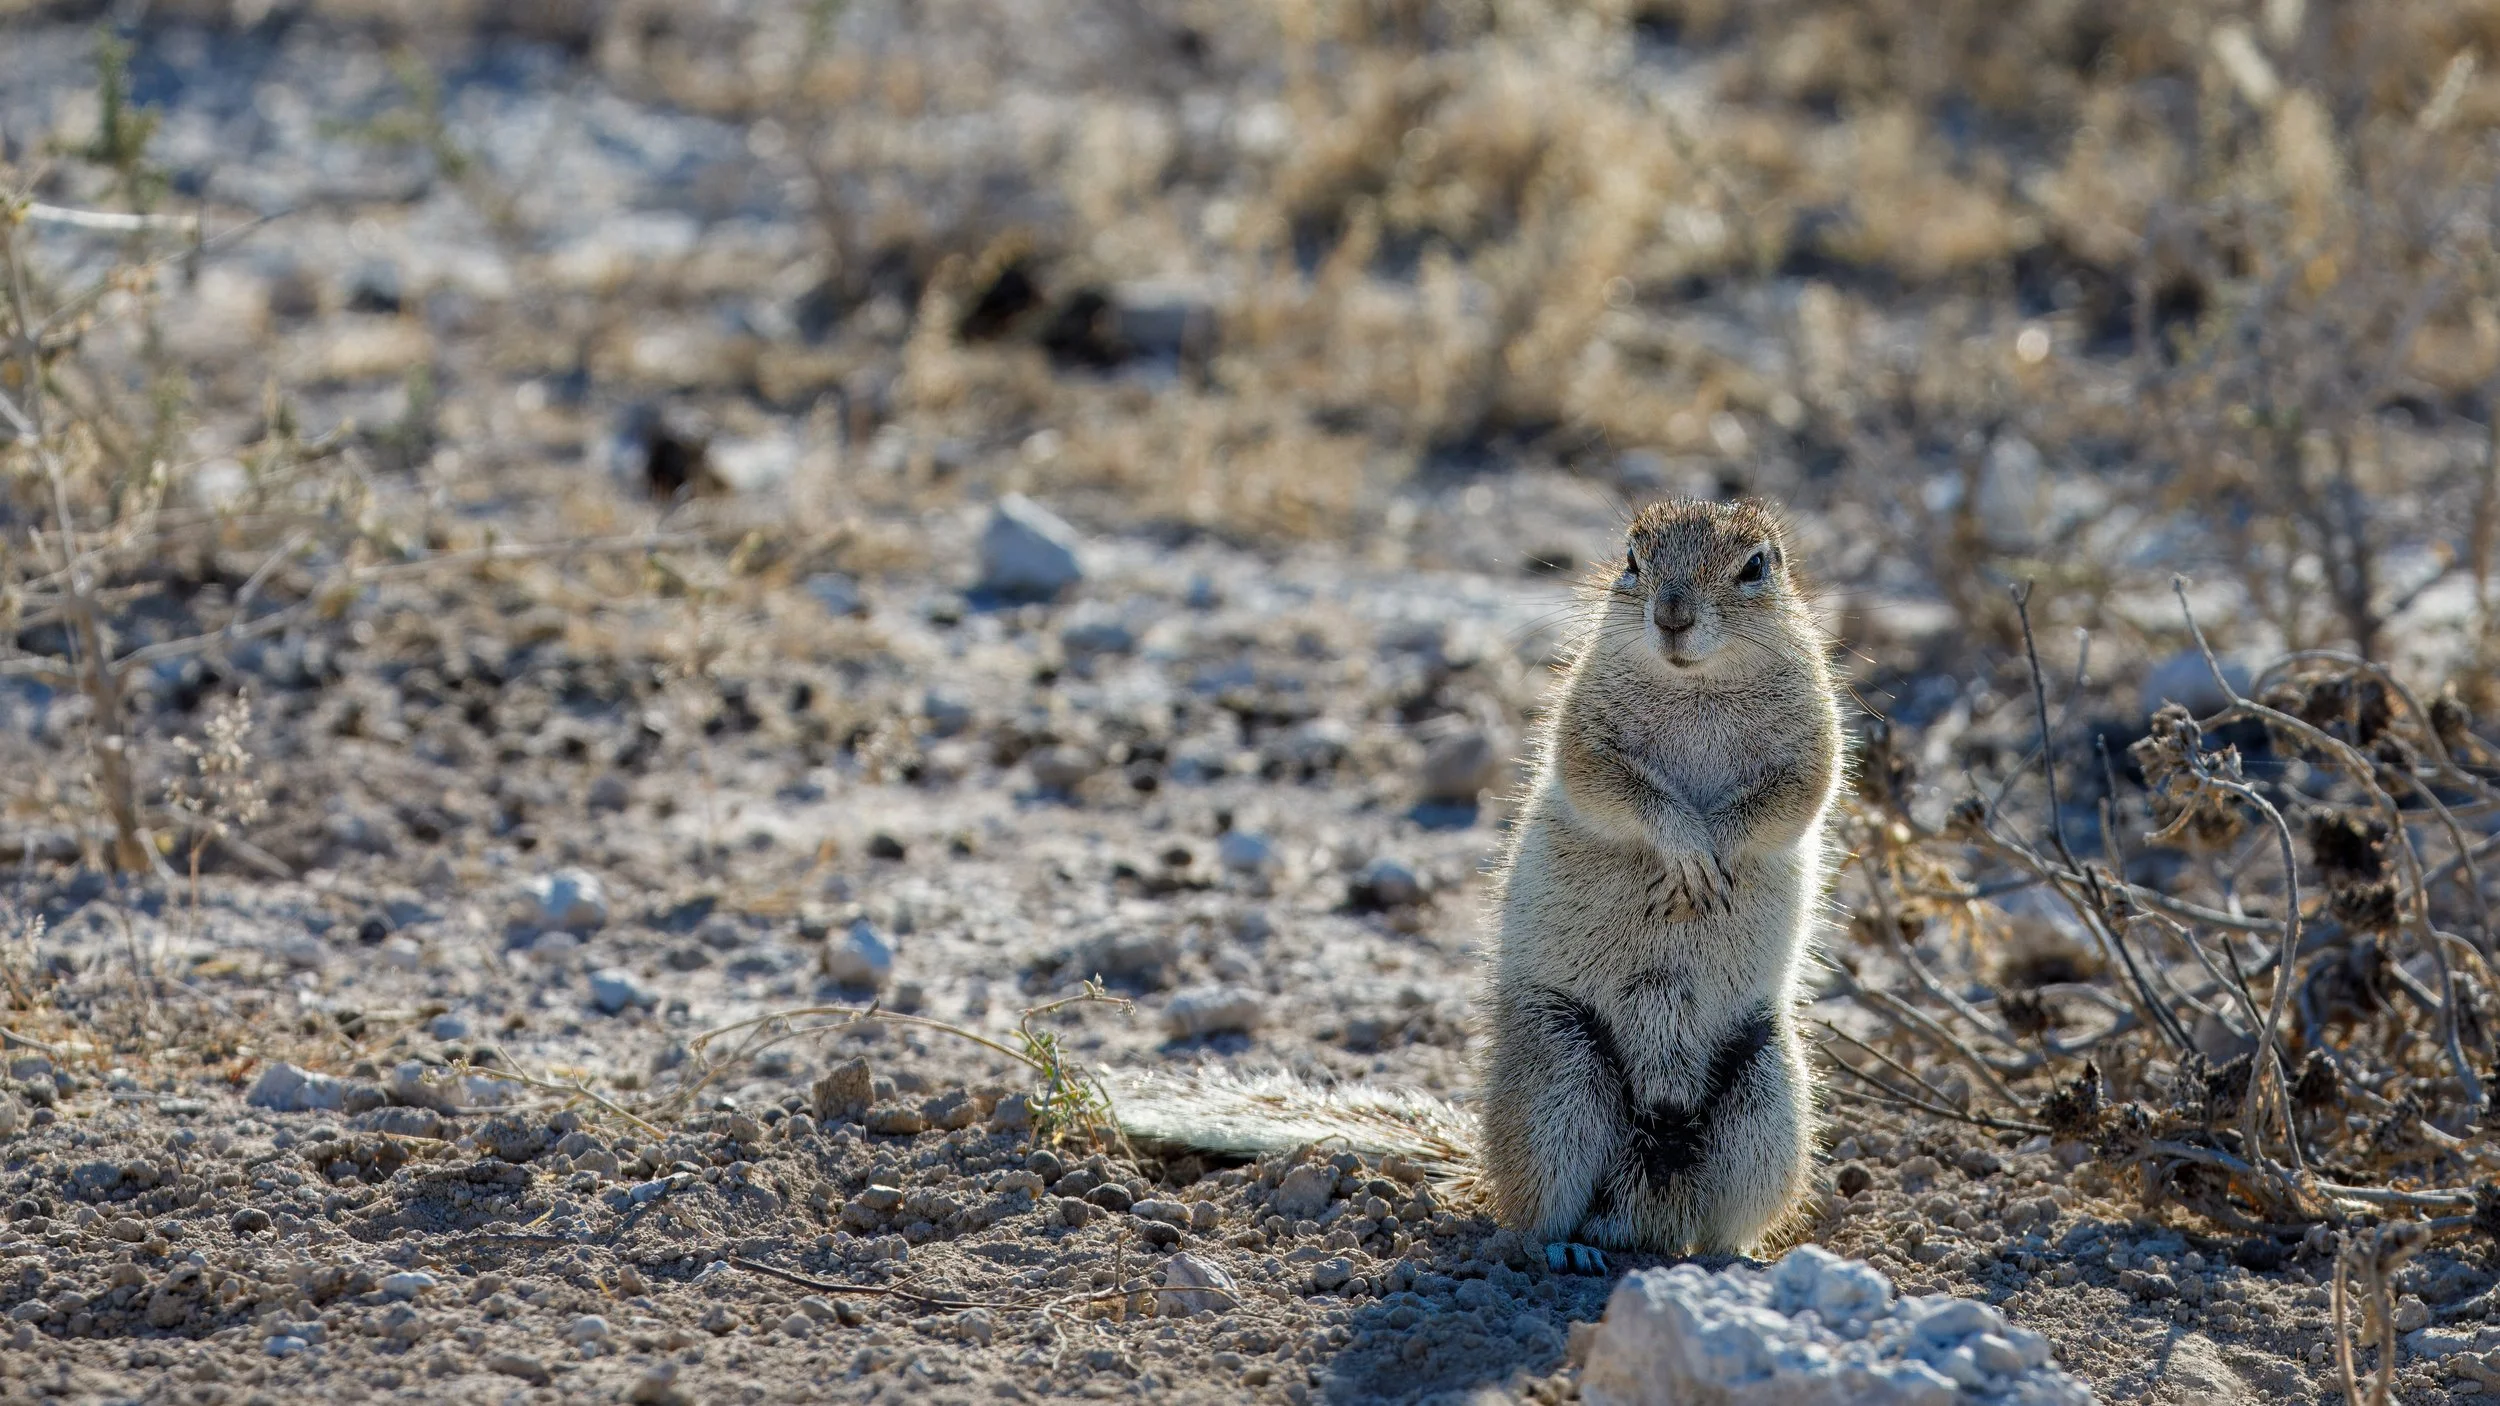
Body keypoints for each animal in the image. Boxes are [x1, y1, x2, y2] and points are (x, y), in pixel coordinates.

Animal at [1111, 499, 1843, 1271]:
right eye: (1632, 557)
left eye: (1755, 566)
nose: (1672, 615)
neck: (1695, 682)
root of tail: (1645, 1207)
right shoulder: (1583, 732)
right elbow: (1616, 787)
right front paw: (1684, 849)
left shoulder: (1814, 738)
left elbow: (1791, 797)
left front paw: (1715, 851)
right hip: (1559, 1080)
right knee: (1534, 1215)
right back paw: (1567, 1250)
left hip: (1766, 1100)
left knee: (1723, 1217)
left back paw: (1732, 1259)